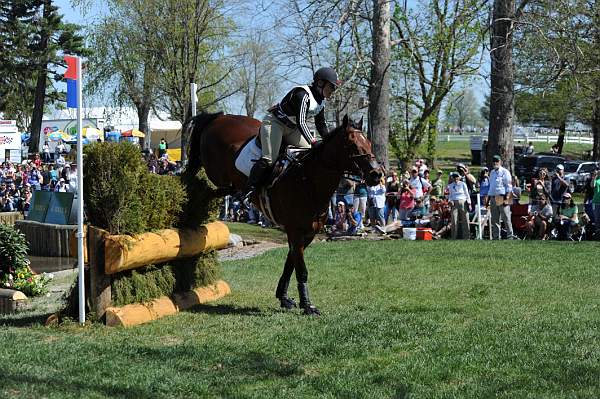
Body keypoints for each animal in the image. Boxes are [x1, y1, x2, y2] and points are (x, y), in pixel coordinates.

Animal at [188, 112, 382, 316]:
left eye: (369, 143)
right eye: (352, 145)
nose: (376, 174)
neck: (309, 182)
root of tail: (221, 116)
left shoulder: (307, 233)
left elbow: (291, 264)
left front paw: (284, 297)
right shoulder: (295, 231)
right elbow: (301, 269)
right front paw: (308, 305)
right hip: (214, 170)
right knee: (202, 175)